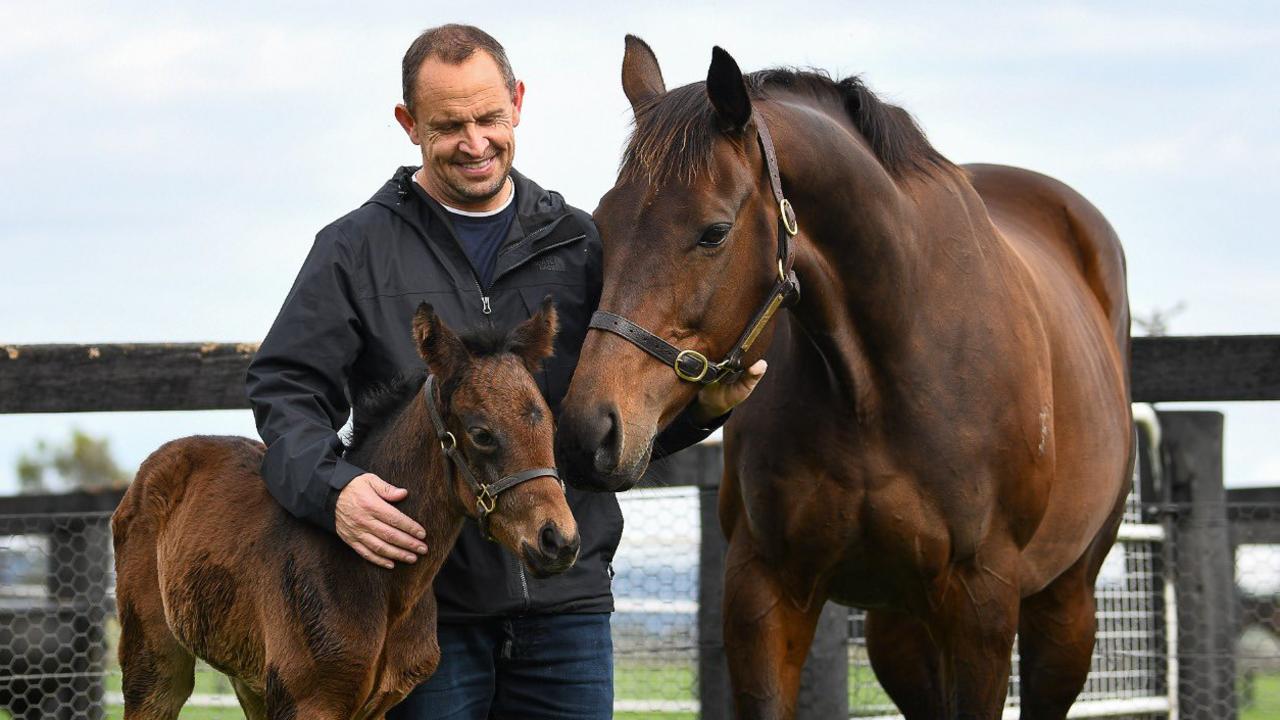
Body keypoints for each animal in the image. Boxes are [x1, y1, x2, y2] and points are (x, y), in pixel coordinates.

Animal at [560, 39, 1131, 717]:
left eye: (713, 232)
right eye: (604, 222)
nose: (588, 432)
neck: (877, 382)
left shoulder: (982, 600)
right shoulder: (765, 589)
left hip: (1065, 606)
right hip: (900, 627)